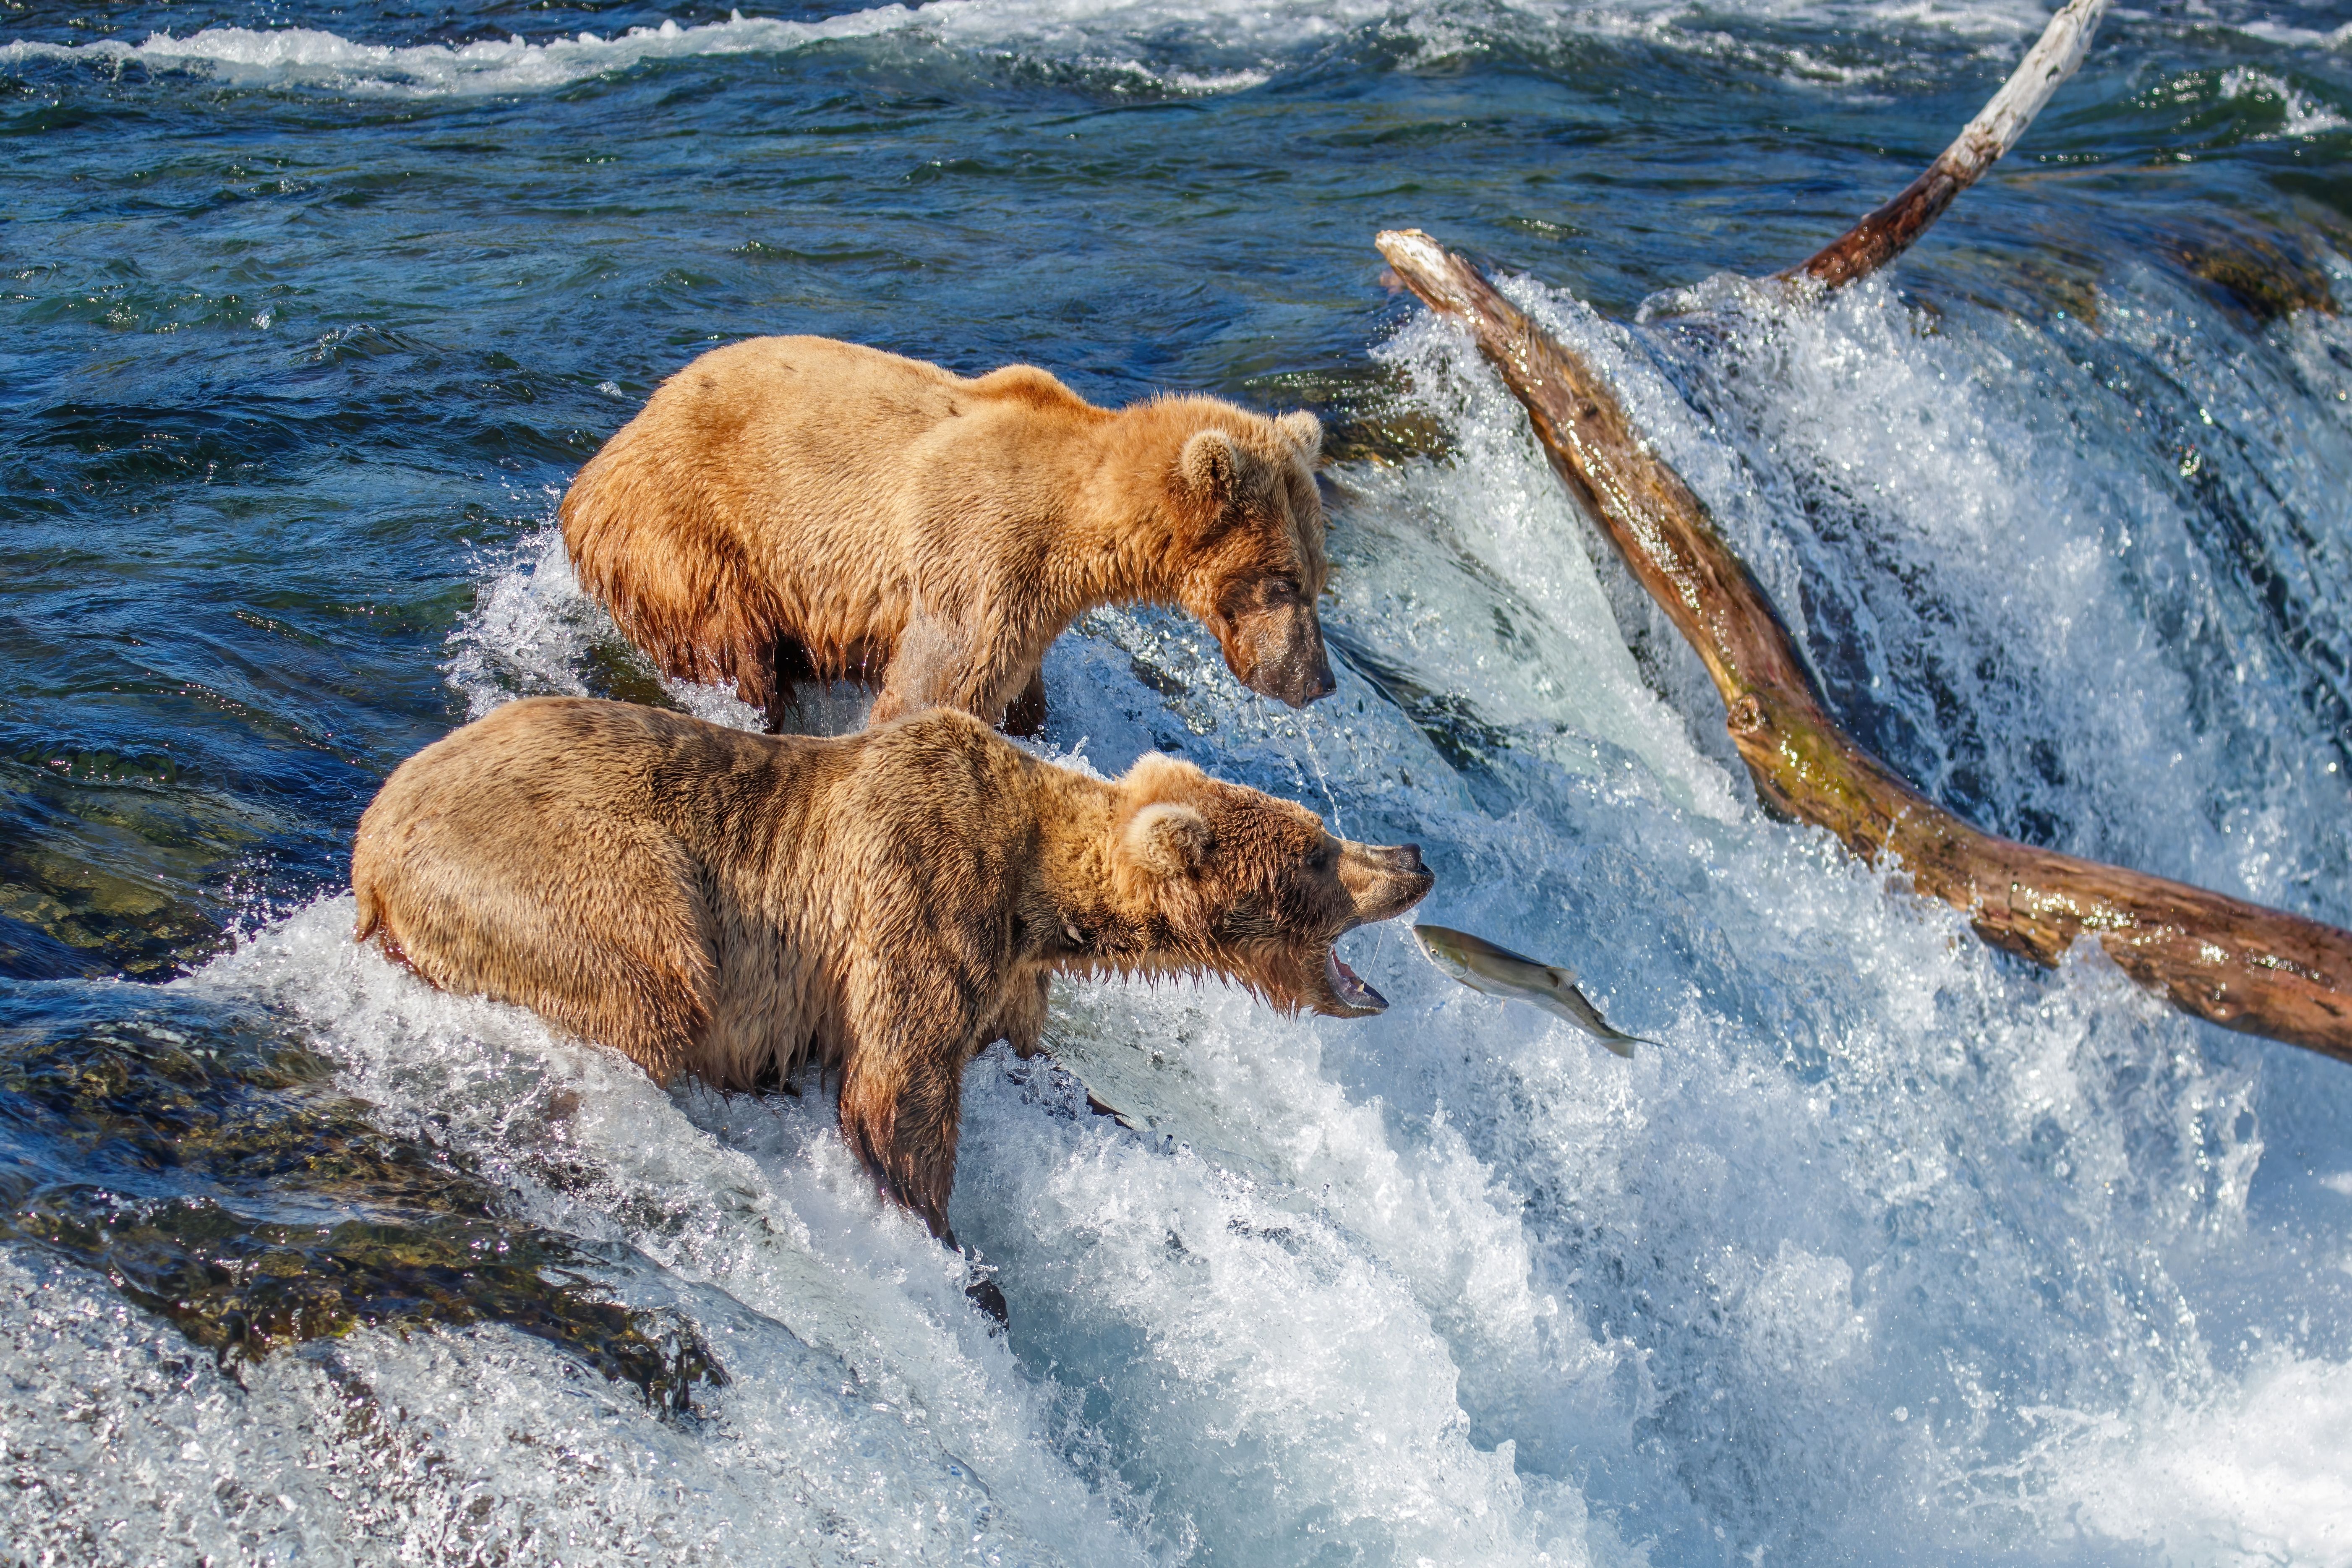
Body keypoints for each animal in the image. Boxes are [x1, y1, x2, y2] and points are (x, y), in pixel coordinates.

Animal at [341, 700, 1420, 1250]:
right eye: (1318, 853)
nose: (1413, 857)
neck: (1038, 892)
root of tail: (369, 841)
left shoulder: (1010, 976)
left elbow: (1036, 1061)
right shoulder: (917, 894)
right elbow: (897, 1091)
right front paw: (946, 1242)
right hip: (556, 861)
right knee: (658, 975)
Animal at [546, 336, 1326, 738]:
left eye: (1318, 581)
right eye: (1282, 582)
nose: (1318, 680)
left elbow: (1022, 699)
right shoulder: (979, 559)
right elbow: (935, 688)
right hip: (685, 531)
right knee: (732, 653)